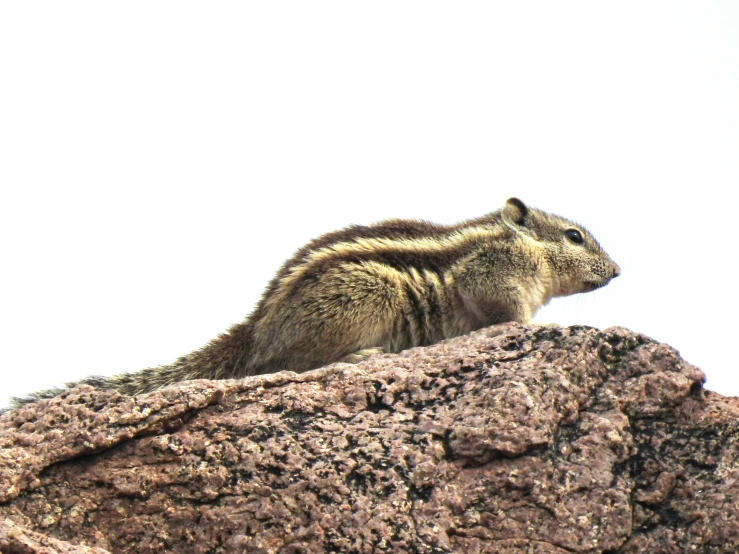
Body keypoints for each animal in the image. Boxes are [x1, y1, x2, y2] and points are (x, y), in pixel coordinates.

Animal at [5, 196, 620, 408]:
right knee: (286, 365)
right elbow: (506, 311)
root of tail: (256, 326)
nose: (617, 272)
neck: (523, 245)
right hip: (368, 298)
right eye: (574, 237)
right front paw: (527, 331)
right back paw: (359, 357)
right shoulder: (493, 275)